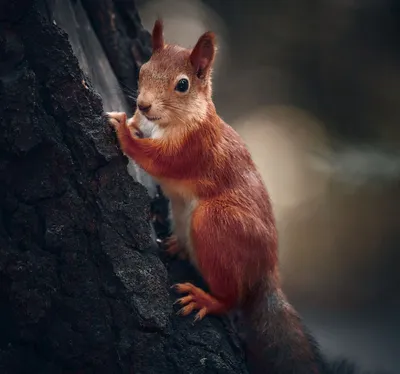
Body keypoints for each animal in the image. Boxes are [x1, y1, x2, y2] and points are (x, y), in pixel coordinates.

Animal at [106, 20, 328, 374]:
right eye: (142, 70)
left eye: (182, 85)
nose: (142, 105)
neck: (169, 122)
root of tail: (266, 271)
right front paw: (132, 123)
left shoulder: (193, 149)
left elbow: (157, 159)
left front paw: (124, 131)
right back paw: (176, 245)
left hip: (217, 223)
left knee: (231, 299)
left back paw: (207, 299)